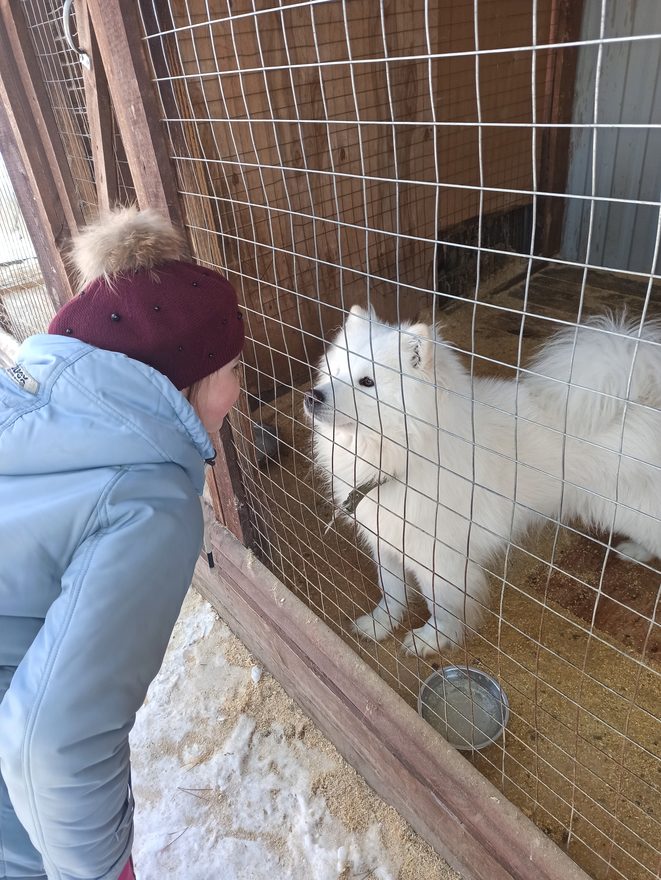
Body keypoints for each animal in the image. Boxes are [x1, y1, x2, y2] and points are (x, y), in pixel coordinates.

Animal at [304, 306, 660, 656]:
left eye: (367, 382)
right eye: (334, 371)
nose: (312, 396)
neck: (401, 457)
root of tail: (644, 400)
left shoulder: (440, 562)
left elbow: (441, 607)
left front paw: (431, 640)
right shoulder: (386, 543)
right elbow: (391, 593)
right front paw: (379, 625)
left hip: (633, 510)